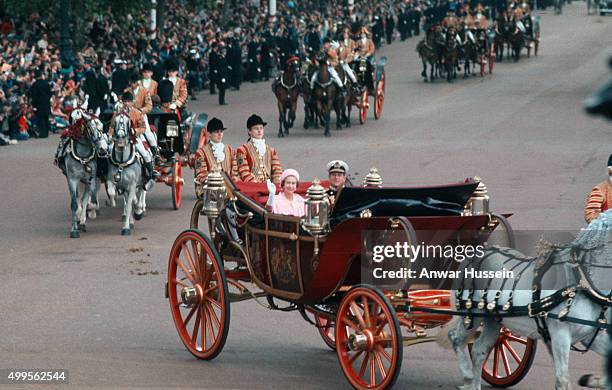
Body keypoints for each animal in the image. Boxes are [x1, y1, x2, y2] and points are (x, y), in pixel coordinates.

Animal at [444, 212, 612, 388]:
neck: (580, 282)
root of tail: (473, 255)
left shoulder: (590, 336)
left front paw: (595, 380)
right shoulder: (560, 336)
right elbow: (562, 379)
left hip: (493, 321)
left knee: (478, 351)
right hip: (473, 314)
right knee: (455, 337)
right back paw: (467, 375)